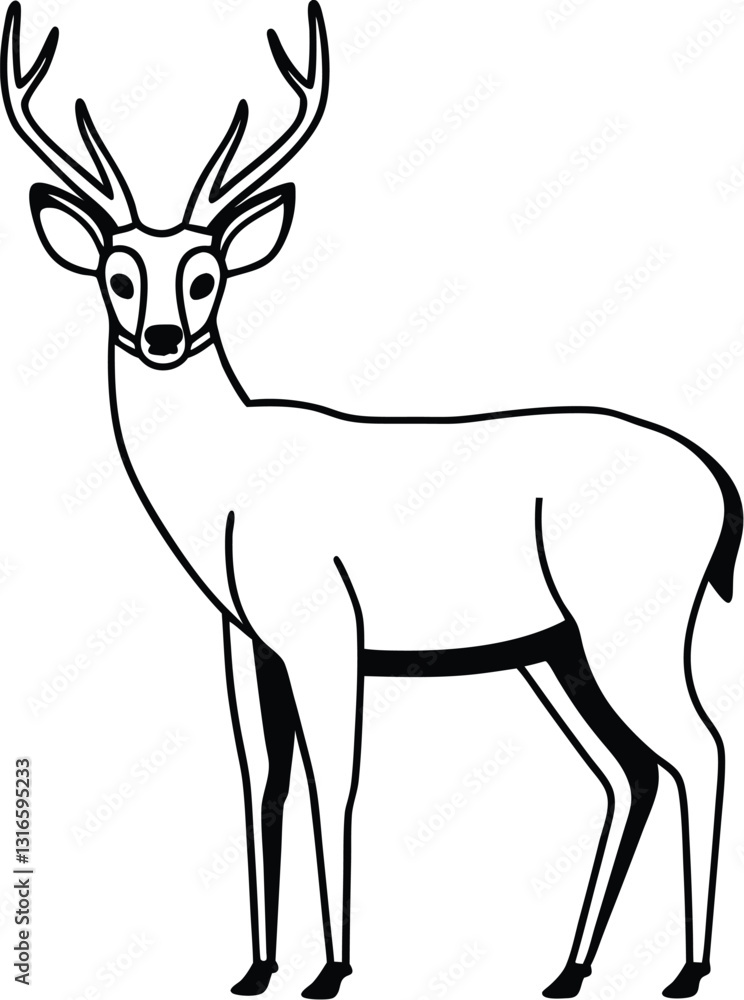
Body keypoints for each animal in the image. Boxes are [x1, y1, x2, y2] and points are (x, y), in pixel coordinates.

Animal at [2, 2, 741, 997]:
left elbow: (335, 781)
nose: (161, 336)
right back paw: (569, 970)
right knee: (631, 773)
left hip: (636, 622)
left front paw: (332, 970)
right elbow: (261, 780)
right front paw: (255, 969)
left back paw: (689, 971)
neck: (227, 493)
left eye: (206, 274)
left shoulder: (326, 628)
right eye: (118, 274)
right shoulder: (247, 641)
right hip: (558, 651)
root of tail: (720, 484)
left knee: (699, 749)